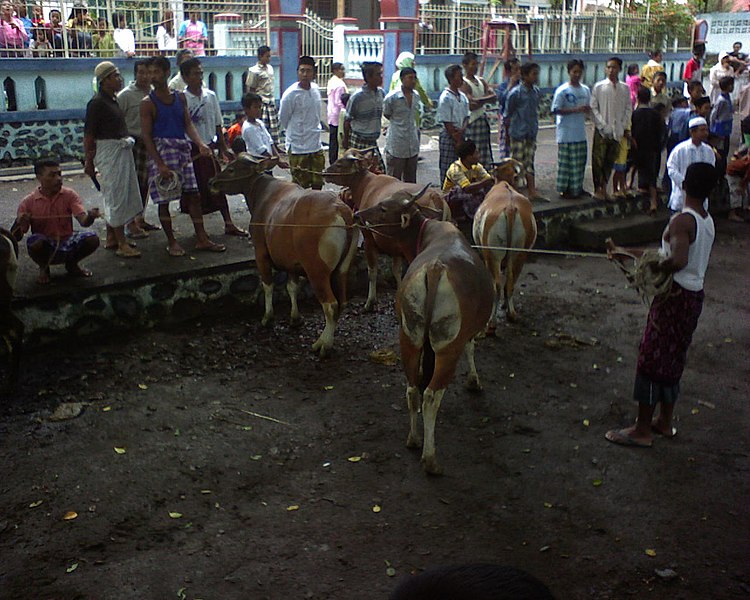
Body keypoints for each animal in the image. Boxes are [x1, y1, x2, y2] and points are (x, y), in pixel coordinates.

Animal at [324, 148, 452, 312]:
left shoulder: (369, 239)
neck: (365, 186)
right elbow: (397, 271)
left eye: (340, 163)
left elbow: (372, 271)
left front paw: (370, 302)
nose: (325, 173)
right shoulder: (396, 246)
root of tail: (436, 196)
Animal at [356, 185, 496, 476]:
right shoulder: (465, 334)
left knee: (411, 389)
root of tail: (434, 270)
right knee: (431, 396)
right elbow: (471, 347)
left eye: (383, 207)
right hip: (448, 346)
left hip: (408, 336)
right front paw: (474, 381)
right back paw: (430, 459)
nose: (357, 214)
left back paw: (413, 439)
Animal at [472, 158, 536, 328]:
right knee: (510, 282)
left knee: (497, 285)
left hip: (492, 255)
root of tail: (510, 208)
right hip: (520, 253)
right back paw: (511, 313)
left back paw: (491, 323)